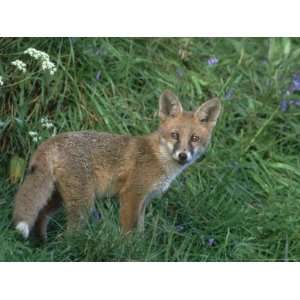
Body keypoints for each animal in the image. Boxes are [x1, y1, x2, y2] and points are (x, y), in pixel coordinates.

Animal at [12, 89, 221, 241]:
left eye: (194, 139)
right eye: (175, 135)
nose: (183, 155)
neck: (159, 160)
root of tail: (51, 141)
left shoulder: (144, 201)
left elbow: (140, 230)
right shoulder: (131, 195)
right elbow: (128, 231)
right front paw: (127, 250)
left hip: (58, 199)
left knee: (41, 216)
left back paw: (42, 243)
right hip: (83, 204)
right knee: (69, 233)